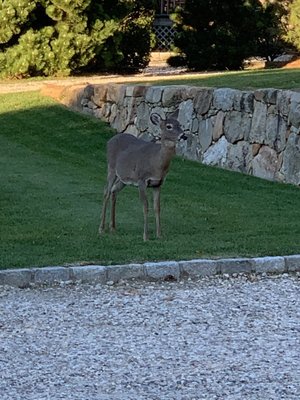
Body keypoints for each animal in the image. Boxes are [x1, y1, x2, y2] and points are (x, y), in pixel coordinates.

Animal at [99, 110, 186, 241]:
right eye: (169, 126)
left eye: (180, 124)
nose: (183, 135)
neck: (157, 164)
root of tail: (110, 140)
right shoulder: (141, 179)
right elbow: (145, 206)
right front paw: (146, 236)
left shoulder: (158, 183)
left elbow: (157, 208)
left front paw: (159, 234)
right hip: (111, 167)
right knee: (106, 192)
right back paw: (101, 229)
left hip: (123, 178)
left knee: (114, 190)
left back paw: (113, 227)